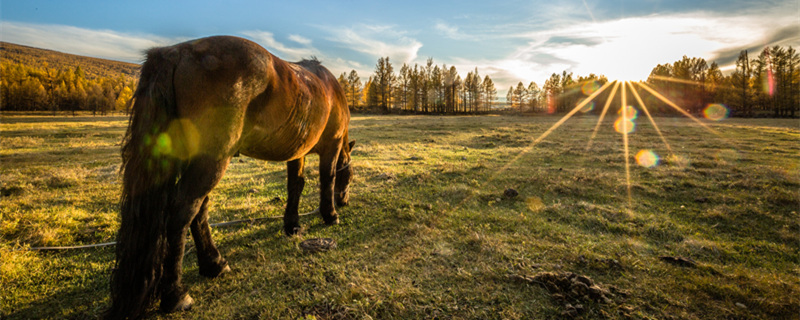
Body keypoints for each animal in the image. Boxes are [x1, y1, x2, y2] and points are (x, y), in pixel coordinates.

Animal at [105, 36, 354, 318]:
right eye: (350, 177)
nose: (344, 201)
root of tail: (176, 52)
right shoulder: (332, 146)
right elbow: (328, 178)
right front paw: (330, 215)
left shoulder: (296, 151)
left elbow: (295, 186)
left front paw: (292, 225)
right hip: (212, 161)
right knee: (183, 212)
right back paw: (176, 294)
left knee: (198, 210)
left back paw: (213, 264)